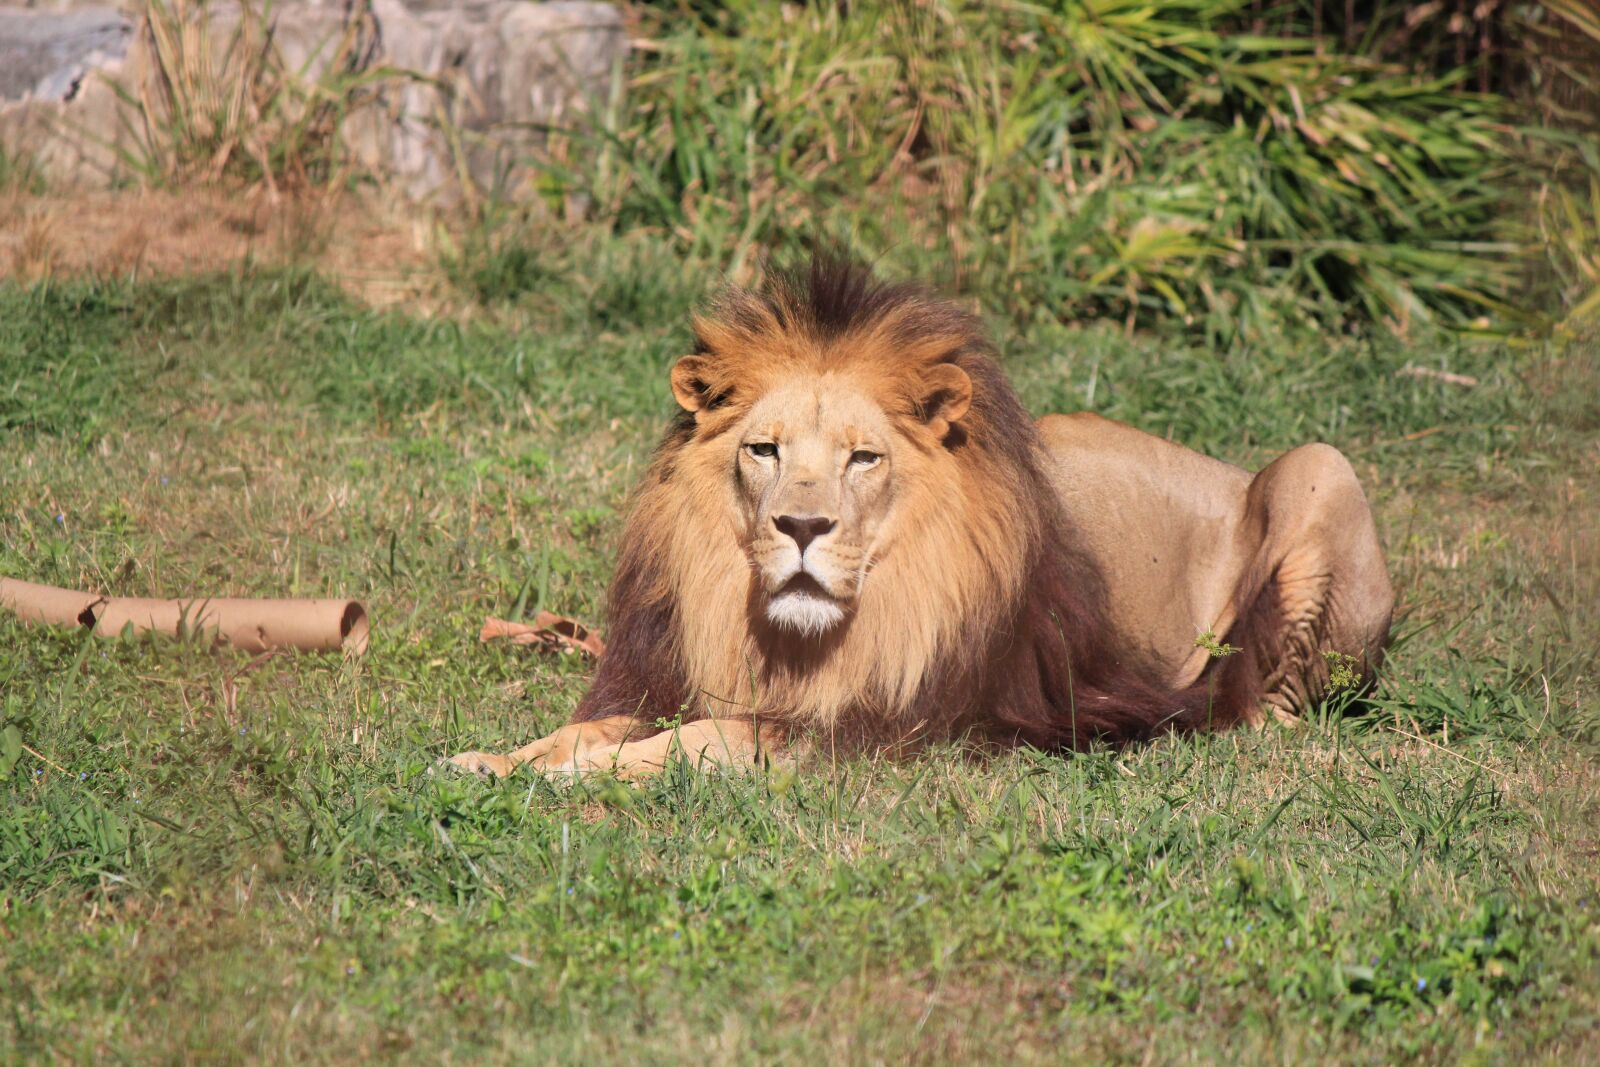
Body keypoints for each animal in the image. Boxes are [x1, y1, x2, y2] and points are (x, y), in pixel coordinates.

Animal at [449, 256, 1393, 780]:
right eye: (764, 450)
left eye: (864, 458)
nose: (801, 528)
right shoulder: (667, 675)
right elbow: (587, 725)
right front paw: (493, 760)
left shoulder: (891, 729)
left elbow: (706, 738)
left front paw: (584, 775)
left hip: (1323, 468)